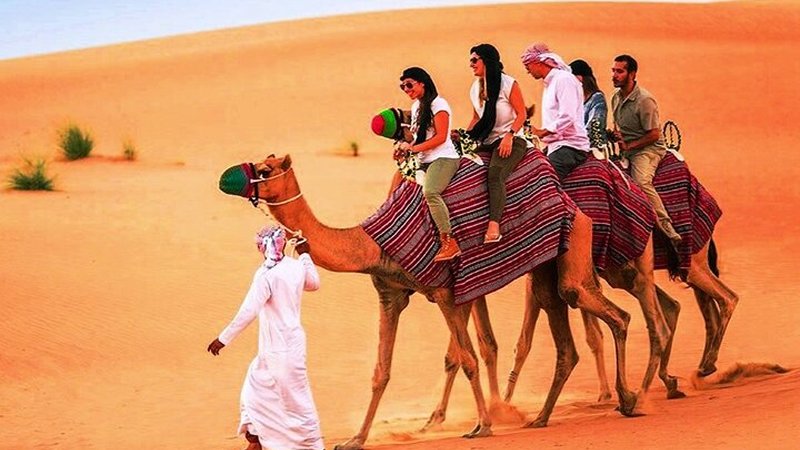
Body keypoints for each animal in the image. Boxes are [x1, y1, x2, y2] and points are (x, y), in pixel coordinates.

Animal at [222, 154, 641, 450]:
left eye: (264, 168)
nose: (227, 178)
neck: (371, 242)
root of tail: (567, 197)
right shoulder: (390, 295)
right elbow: (381, 371)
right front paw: (355, 439)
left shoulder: (444, 293)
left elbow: (467, 358)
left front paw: (483, 425)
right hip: (544, 267)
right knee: (567, 332)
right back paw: (541, 417)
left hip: (575, 245)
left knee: (609, 311)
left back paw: (627, 398)